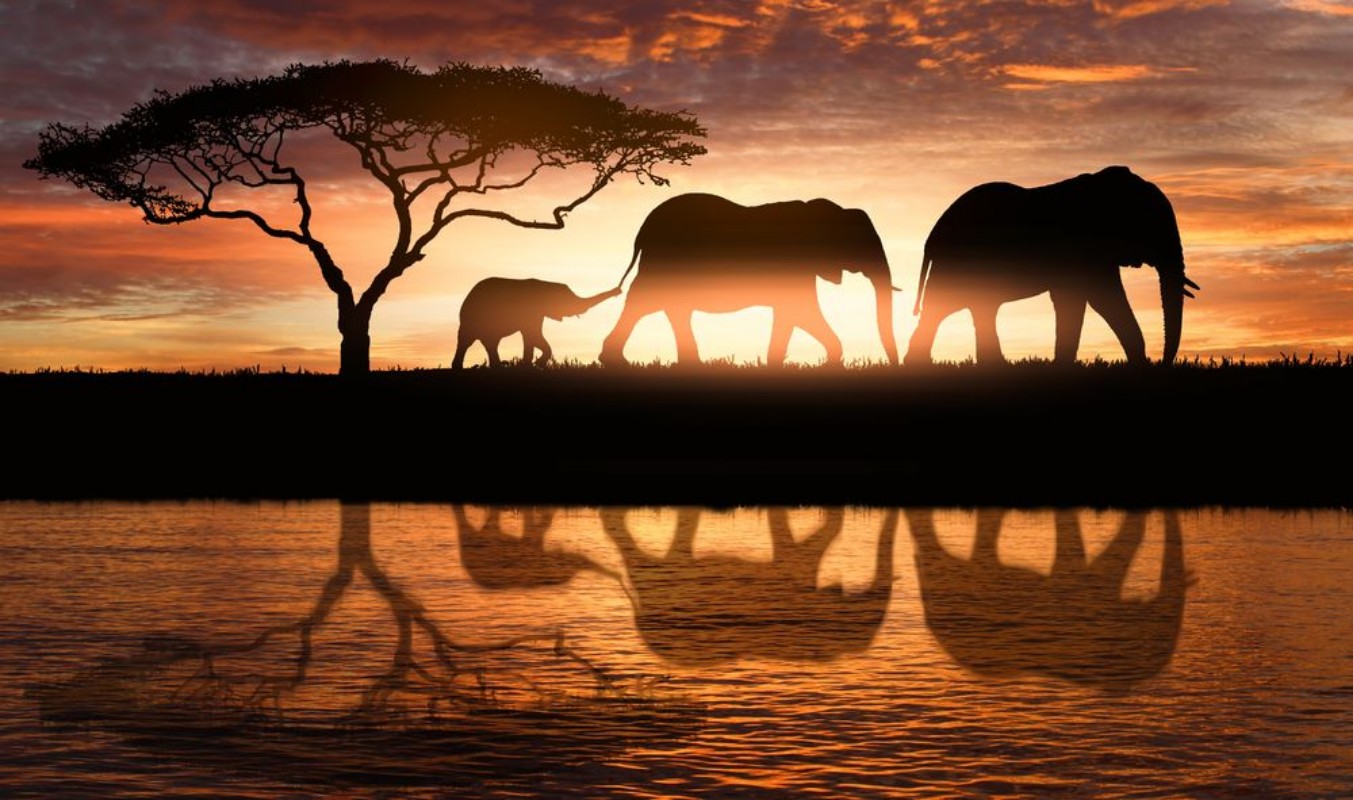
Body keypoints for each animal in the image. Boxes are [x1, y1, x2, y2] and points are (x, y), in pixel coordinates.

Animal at [452, 277, 620, 369]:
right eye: (568, 299)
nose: (618, 291)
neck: (546, 283)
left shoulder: (538, 313)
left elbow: (534, 337)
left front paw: (533, 364)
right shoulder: (532, 311)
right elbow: (532, 334)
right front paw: (535, 364)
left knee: (488, 342)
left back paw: (496, 367)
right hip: (473, 318)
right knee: (468, 341)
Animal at [598, 193, 900, 367]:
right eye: (859, 243)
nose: (895, 366)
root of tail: (643, 229)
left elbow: (799, 311)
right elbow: (800, 310)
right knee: (646, 299)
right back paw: (618, 362)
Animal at [906, 166, 1201, 366]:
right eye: (1152, 227)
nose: (1163, 364)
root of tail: (933, 235)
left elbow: (1095, 300)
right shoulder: (1080, 247)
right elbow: (1095, 298)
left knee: (973, 309)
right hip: (957, 263)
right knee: (941, 308)